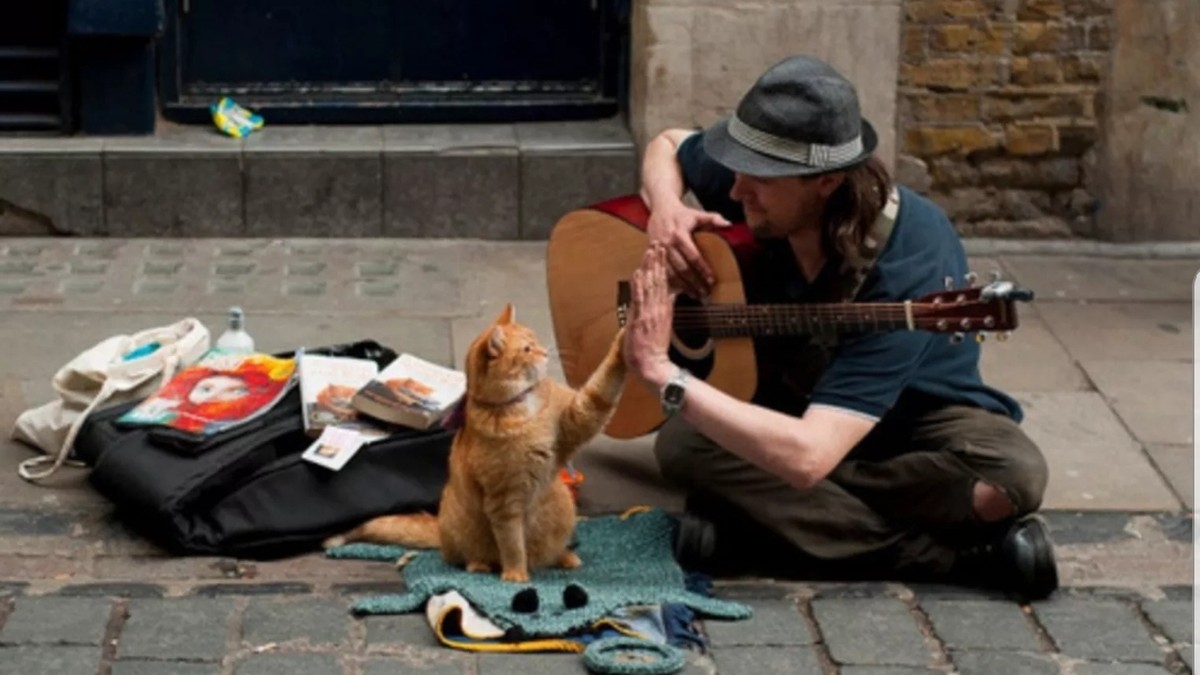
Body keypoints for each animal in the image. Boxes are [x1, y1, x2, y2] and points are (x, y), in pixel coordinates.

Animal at [324, 302, 633, 581]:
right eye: (527, 349)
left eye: (534, 340)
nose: (546, 352)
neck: (523, 405)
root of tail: (440, 527)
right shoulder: (503, 501)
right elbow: (512, 544)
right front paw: (516, 575)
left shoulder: (580, 416)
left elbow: (602, 385)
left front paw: (624, 339)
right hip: (464, 531)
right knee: (471, 556)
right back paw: (481, 565)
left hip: (563, 507)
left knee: (547, 553)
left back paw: (564, 557)